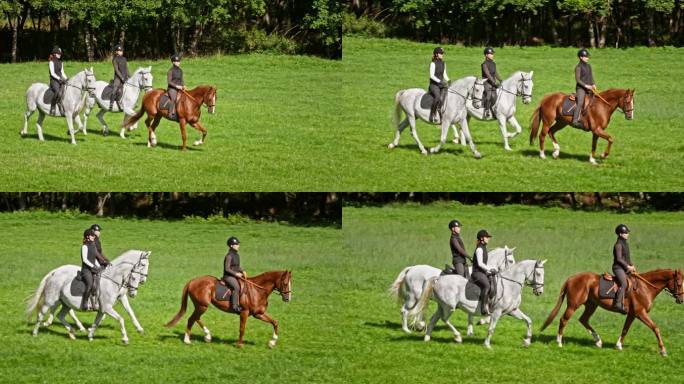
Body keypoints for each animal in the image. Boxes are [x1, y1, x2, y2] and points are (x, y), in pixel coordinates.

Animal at [388, 246, 516, 332]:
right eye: (511, 261)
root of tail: (411, 268)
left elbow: (471, 315)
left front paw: (471, 329)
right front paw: (482, 321)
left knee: (417, 311)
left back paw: (419, 325)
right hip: (413, 298)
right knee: (404, 310)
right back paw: (406, 329)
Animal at [540, 268, 684, 356]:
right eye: (679, 283)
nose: (681, 300)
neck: (645, 287)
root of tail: (571, 278)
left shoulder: (632, 314)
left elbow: (625, 329)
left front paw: (619, 345)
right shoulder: (640, 313)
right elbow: (655, 328)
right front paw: (663, 350)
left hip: (591, 305)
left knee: (583, 319)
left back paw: (598, 341)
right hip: (573, 305)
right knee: (564, 319)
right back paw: (559, 342)